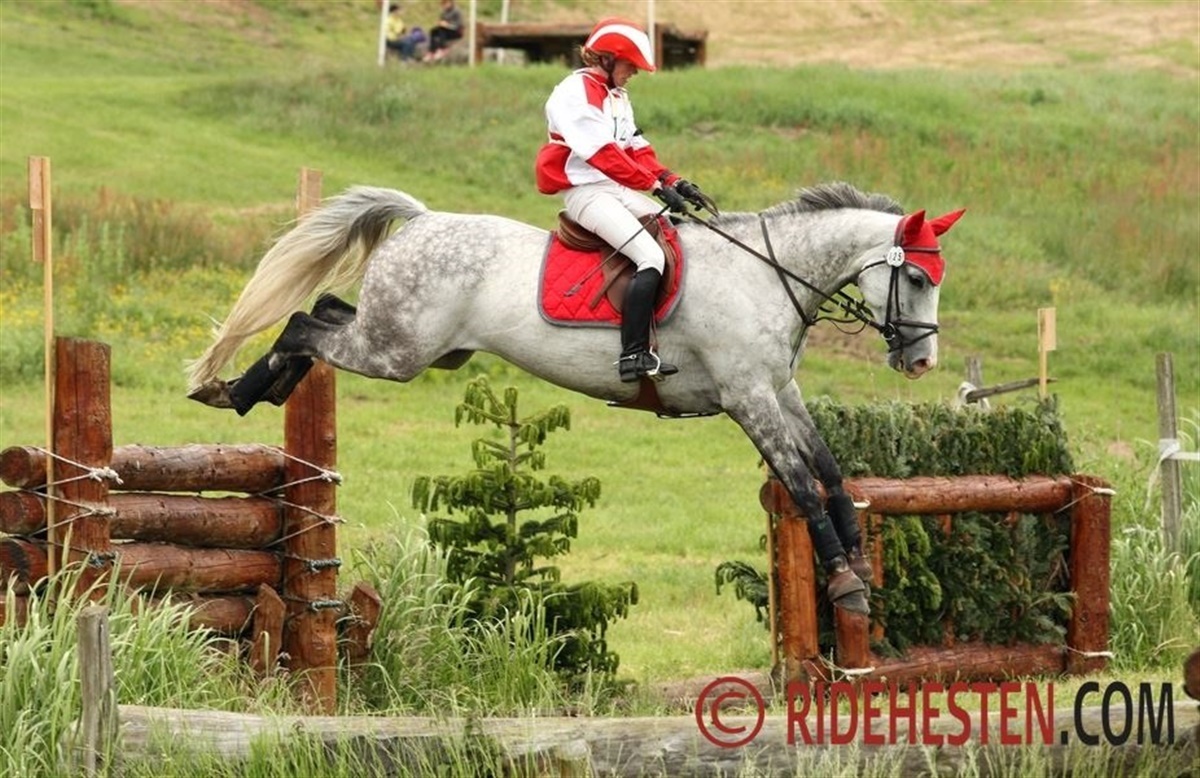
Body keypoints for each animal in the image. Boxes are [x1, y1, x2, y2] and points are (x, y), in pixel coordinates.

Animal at [187, 181, 965, 614]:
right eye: (916, 279)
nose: (922, 362)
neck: (767, 275)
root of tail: (424, 218)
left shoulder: (781, 391)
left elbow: (831, 472)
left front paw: (859, 565)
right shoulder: (748, 397)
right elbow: (802, 486)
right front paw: (845, 586)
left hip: (414, 345)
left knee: (320, 312)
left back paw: (250, 386)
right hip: (396, 352)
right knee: (304, 323)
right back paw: (236, 389)